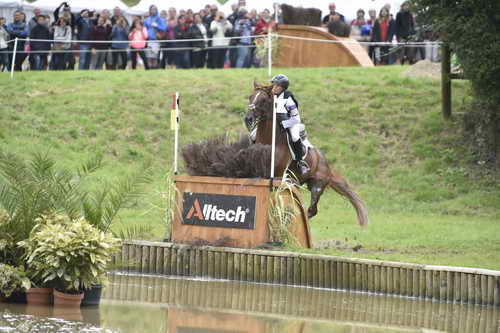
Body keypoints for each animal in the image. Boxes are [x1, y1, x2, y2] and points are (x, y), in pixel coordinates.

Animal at [244, 82, 370, 226]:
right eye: (250, 97)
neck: (269, 139)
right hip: (299, 183)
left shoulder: (278, 175)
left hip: (317, 186)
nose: (248, 119)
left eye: (263, 100)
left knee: (311, 210)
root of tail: (327, 164)